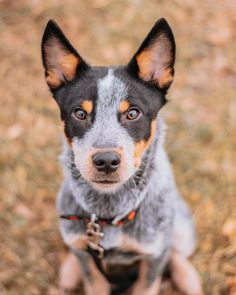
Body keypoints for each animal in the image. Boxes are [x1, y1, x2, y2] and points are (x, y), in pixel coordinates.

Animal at [41, 18, 203, 295]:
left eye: (133, 113)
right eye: (79, 113)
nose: (106, 161)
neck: (108, 214)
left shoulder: (153, 258)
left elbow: (152, 274)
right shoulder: (90, 262)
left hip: (181, 228)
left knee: (176, 251)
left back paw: (188, 277)